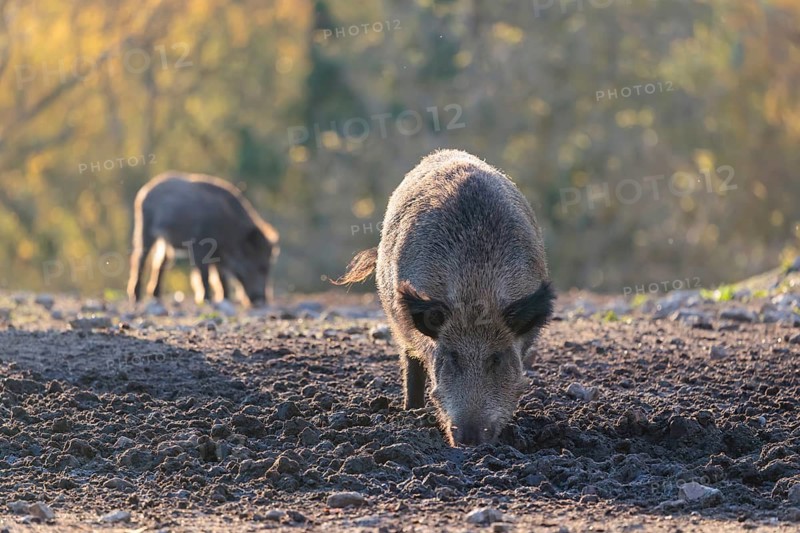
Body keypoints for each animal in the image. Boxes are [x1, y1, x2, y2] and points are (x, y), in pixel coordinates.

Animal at [127, 172, 279, 306]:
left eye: (267, 267)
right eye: (260, 266)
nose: (261, 300)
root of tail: (145, 190)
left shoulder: (219, 254)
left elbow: (220, 276)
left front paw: (225, 298)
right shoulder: (200, 246)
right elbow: (205, 274)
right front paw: (207, 299)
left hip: (167, 242)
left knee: (161, 262)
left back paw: (156, 296)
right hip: (145, 229)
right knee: (140, 259)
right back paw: (136, 297)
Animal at [336, 149, 555, 446]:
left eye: (496, 358)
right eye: (452, 357)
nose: (469, 438)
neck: (476, 290)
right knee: (410, 362)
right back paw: (411, 411)